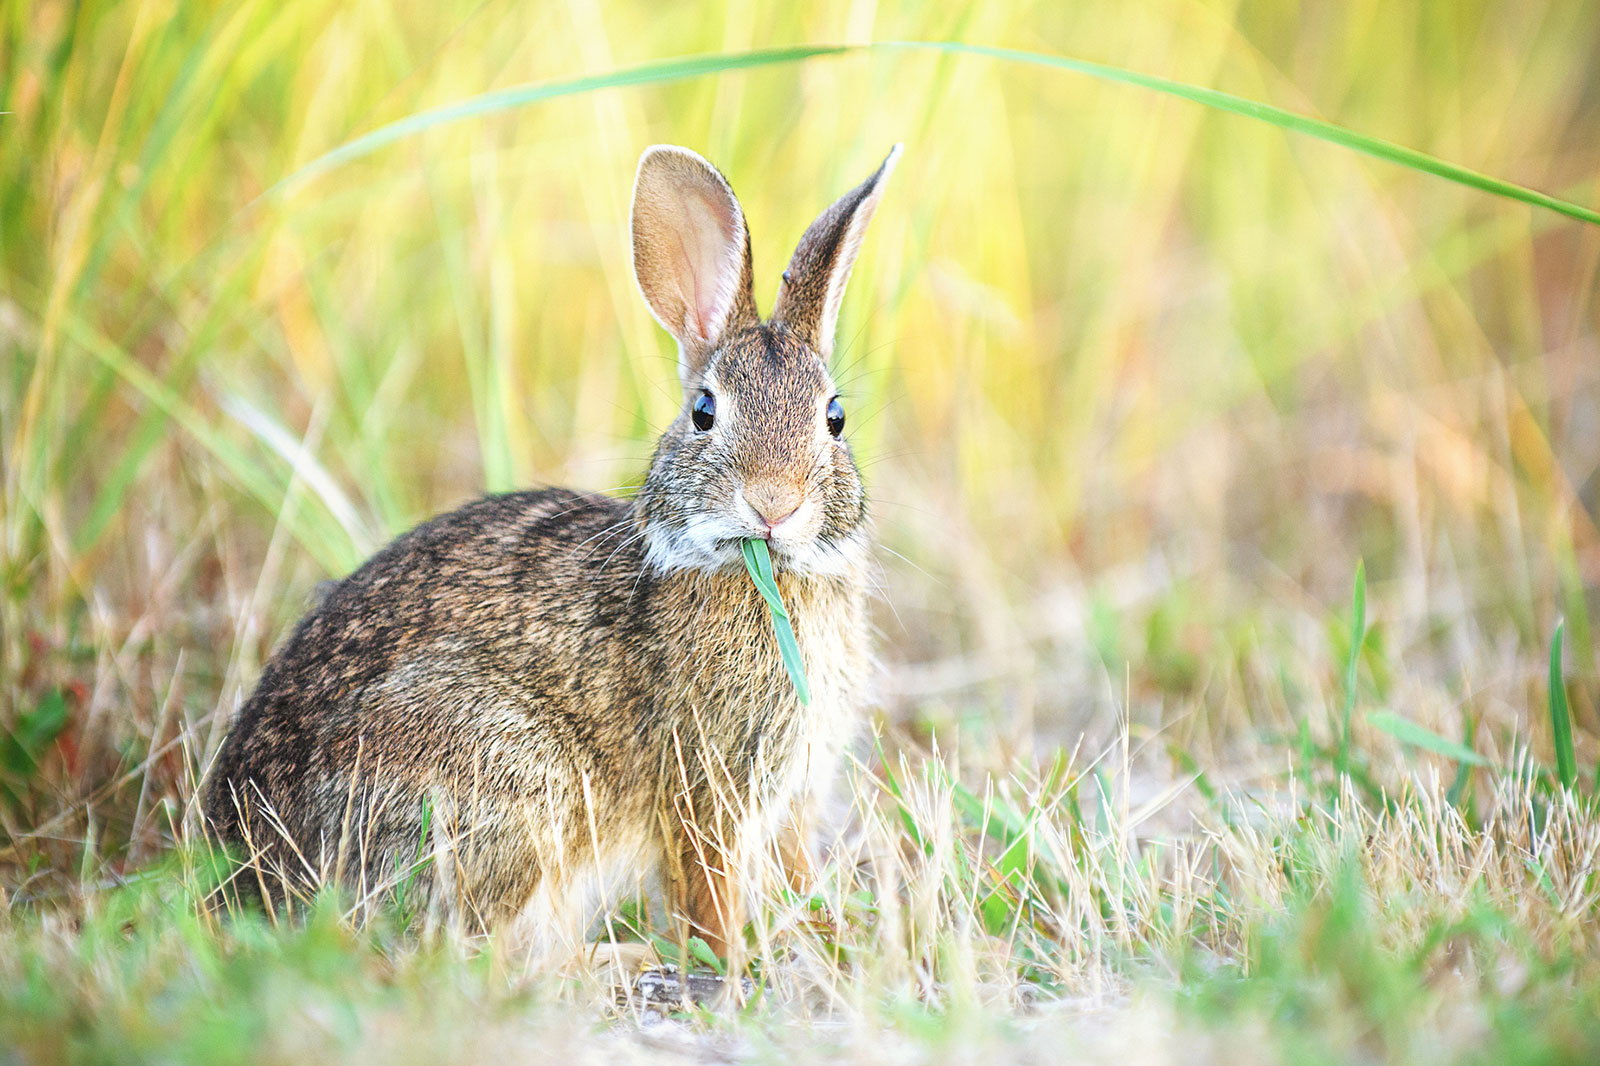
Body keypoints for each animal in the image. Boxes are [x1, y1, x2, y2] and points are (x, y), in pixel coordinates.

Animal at [202, 142, 901, 960]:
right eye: (704, 412)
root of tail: (245, 875)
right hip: (507, 775)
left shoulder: (792, 791)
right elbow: (708, 887)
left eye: (835, 417)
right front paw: (734, 957)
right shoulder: (703, 785)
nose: (774, 504)